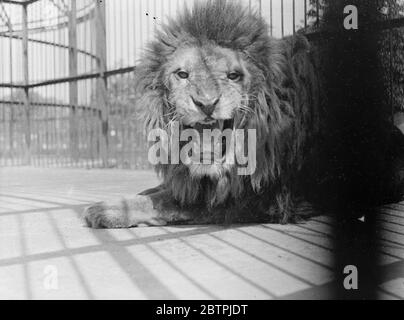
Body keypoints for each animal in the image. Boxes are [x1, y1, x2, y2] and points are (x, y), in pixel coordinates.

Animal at [83, 0, 324, 230]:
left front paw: (109, 208)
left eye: (233, 75)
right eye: (182, 74)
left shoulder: (264, 198)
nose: (206, 103)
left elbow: (167, 201)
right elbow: (162, 190)